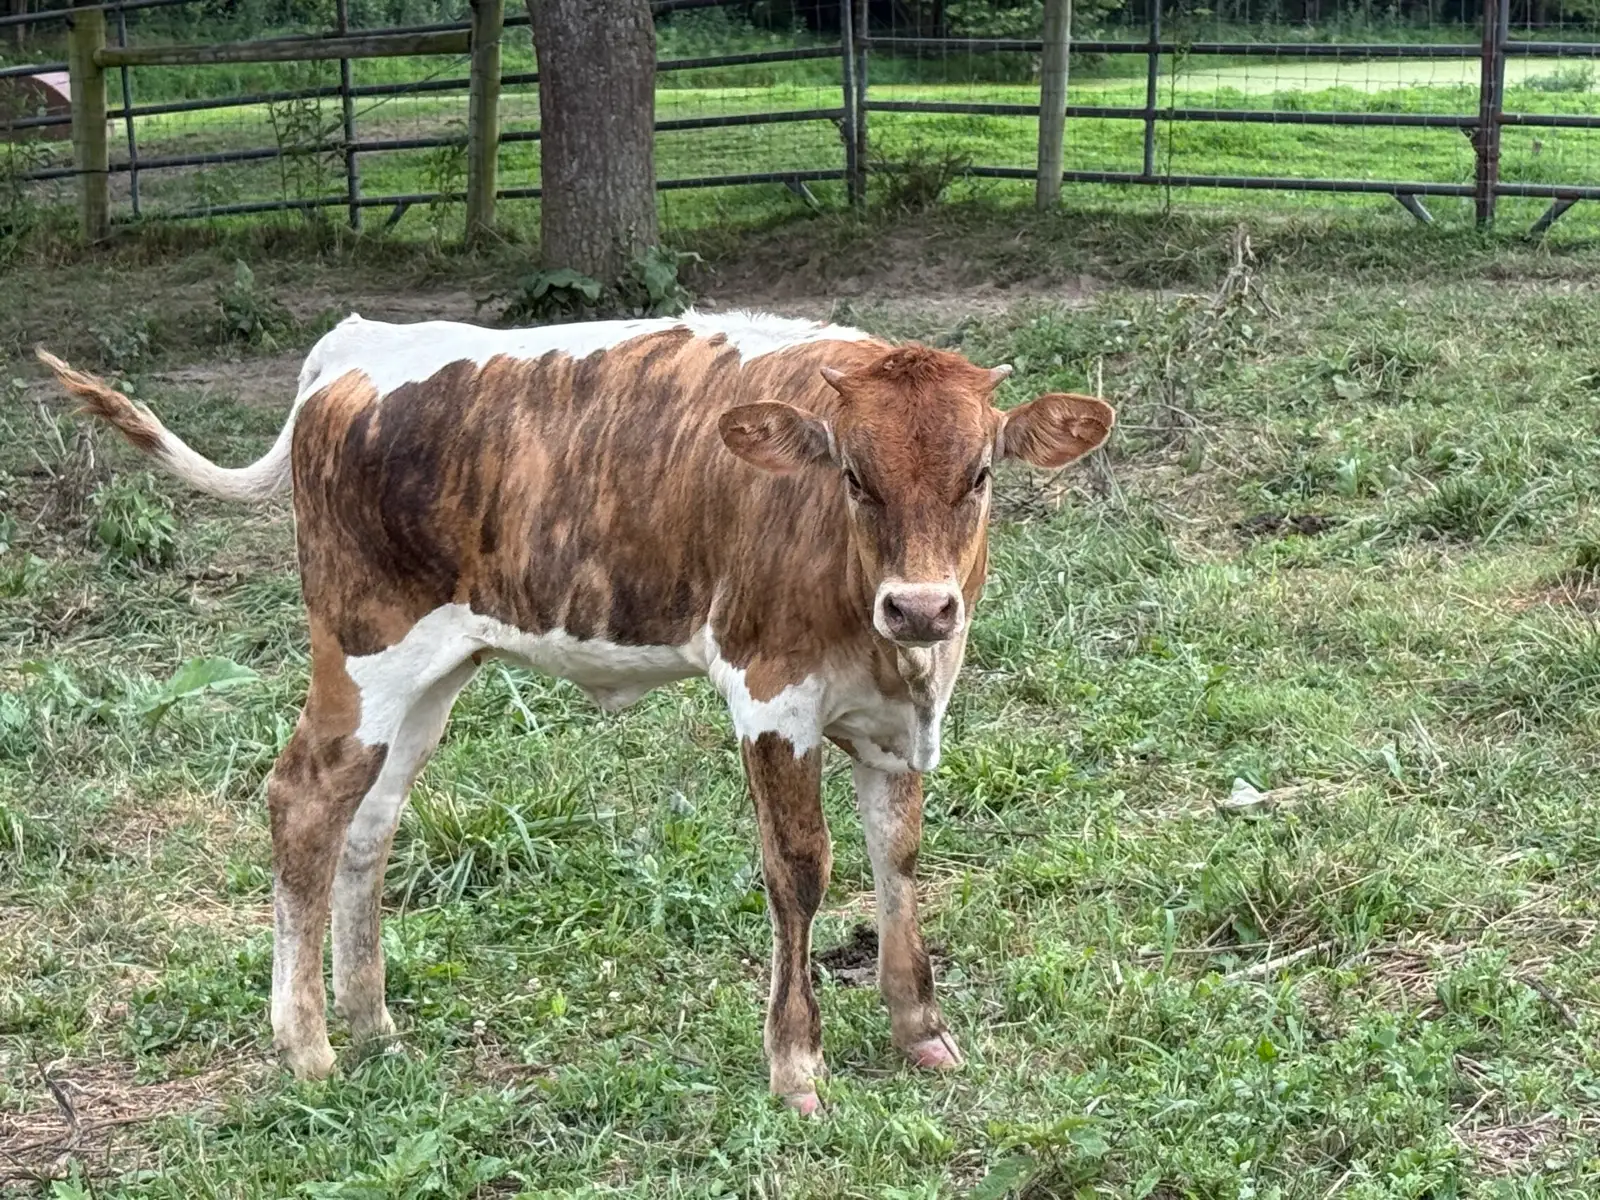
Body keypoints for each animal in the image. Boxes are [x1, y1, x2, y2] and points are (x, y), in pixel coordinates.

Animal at [37, 310, 1113, 1113]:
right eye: (854, 476)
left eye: (980, 475)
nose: (921, 605)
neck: (886, 646)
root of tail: (349, 347)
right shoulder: (770, 694)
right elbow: (801, 872)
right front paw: (796, 1066)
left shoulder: (899, 718)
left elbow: (898, 857)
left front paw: (918, 1029)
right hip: (363, 651)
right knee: (303, 798)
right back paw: (308, 1049)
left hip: (433, 674)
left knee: (368, 823)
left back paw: (374, 1027)